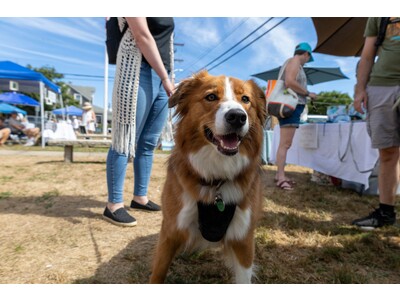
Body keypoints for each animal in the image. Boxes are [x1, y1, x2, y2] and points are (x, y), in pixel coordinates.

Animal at [152, 70, 268, 284]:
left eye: (245, 99)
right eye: (211, 97)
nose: (237, 117)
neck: (216, 179)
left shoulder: (243, 238)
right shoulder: (171, 230)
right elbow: (158, 273)